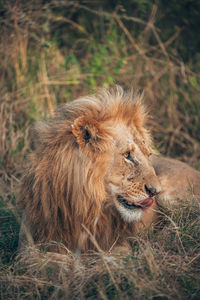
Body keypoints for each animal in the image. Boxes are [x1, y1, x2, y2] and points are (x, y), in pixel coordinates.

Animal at [17, 86, 200, 253]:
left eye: (148, 154)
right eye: (127, 155)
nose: (155, 191)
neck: (82, 205)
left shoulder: (119, 246)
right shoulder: (28, 244)